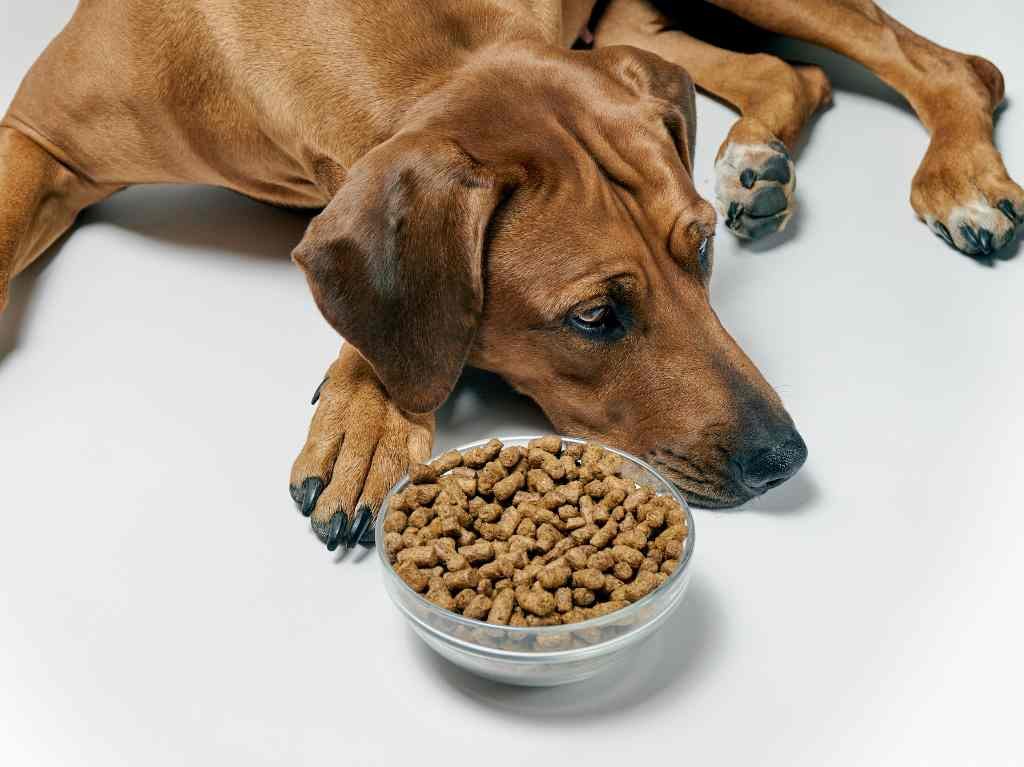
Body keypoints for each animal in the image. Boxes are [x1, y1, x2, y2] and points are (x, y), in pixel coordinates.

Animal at [2, 1, 1015, 548]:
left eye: (699, 253)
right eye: (596, 317)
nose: (785, 458)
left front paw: (369, 410)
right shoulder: (37, 134)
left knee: (958, 67)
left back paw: (961, 175)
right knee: (790, 72)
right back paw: (755, 158)